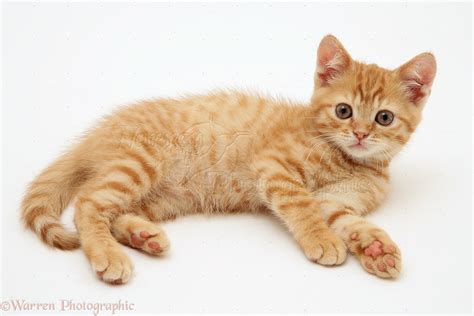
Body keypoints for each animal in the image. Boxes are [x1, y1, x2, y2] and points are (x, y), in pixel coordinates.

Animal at [22, 35, 436, 284]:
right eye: (344, 111)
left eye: (384, 118)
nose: (361, 134)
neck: (350, 160)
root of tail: (99, 132)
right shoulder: (275, 167)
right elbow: (301, 205)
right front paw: (321, 239)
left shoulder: (335, 200)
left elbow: (348, 220)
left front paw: (376, 248)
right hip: (141, 163)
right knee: (89, 203)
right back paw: (109, 254)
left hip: (161, 197)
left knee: (117, 211)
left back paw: (143, 235)